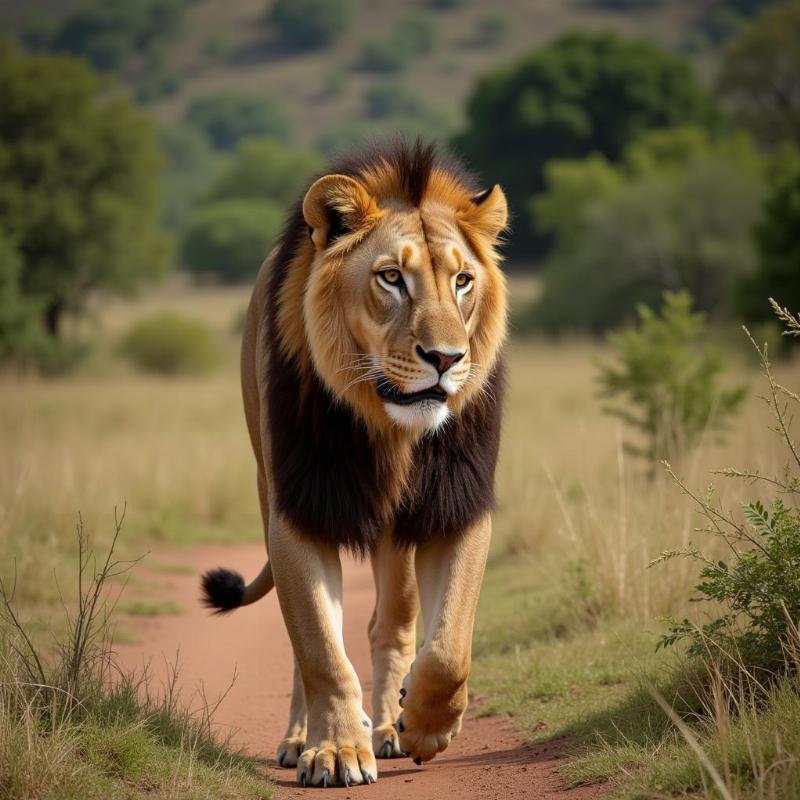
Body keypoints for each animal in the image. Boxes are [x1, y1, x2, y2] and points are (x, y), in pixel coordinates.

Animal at [203, 138, 510, 788]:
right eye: (391, 278)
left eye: (463, 281)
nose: (446, 358)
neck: (390, 428)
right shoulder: (298, 509)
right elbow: (320, 648)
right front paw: (337, 751)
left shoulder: (456, 506)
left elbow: (450, 646)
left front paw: (424, 724)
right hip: (266, 482)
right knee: (309, 646)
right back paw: (304, 738)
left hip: (399, 530)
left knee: (390, 624)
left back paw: (391, 726)